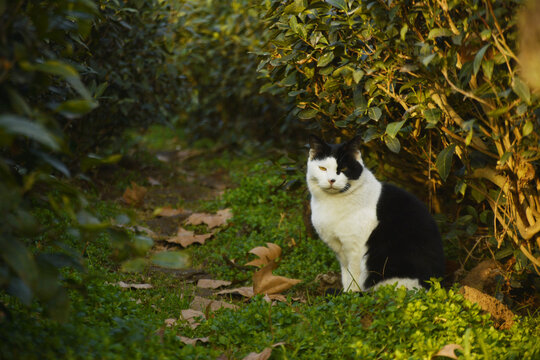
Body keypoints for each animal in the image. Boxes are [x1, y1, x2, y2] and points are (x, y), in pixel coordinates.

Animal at [306, 134, 446, 292]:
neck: (331, 202)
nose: (331, 180)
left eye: (344, 168)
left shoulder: (356, 249)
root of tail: (434, 285)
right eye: (322, 168)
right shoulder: (340, 252)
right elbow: (346, 276)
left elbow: (354, 277)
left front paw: (351, 295)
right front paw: (346, 293)